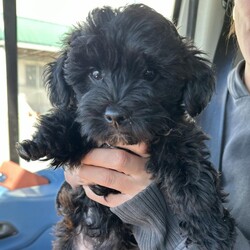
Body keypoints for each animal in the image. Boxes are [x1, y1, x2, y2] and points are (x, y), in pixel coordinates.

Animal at [16, 3, 235, 250]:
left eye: (149, 74)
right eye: (95, 74)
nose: (114, 116)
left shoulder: (180, 135)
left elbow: (192, 175)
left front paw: (211, 231)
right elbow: (74, 120)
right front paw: (41, 140)